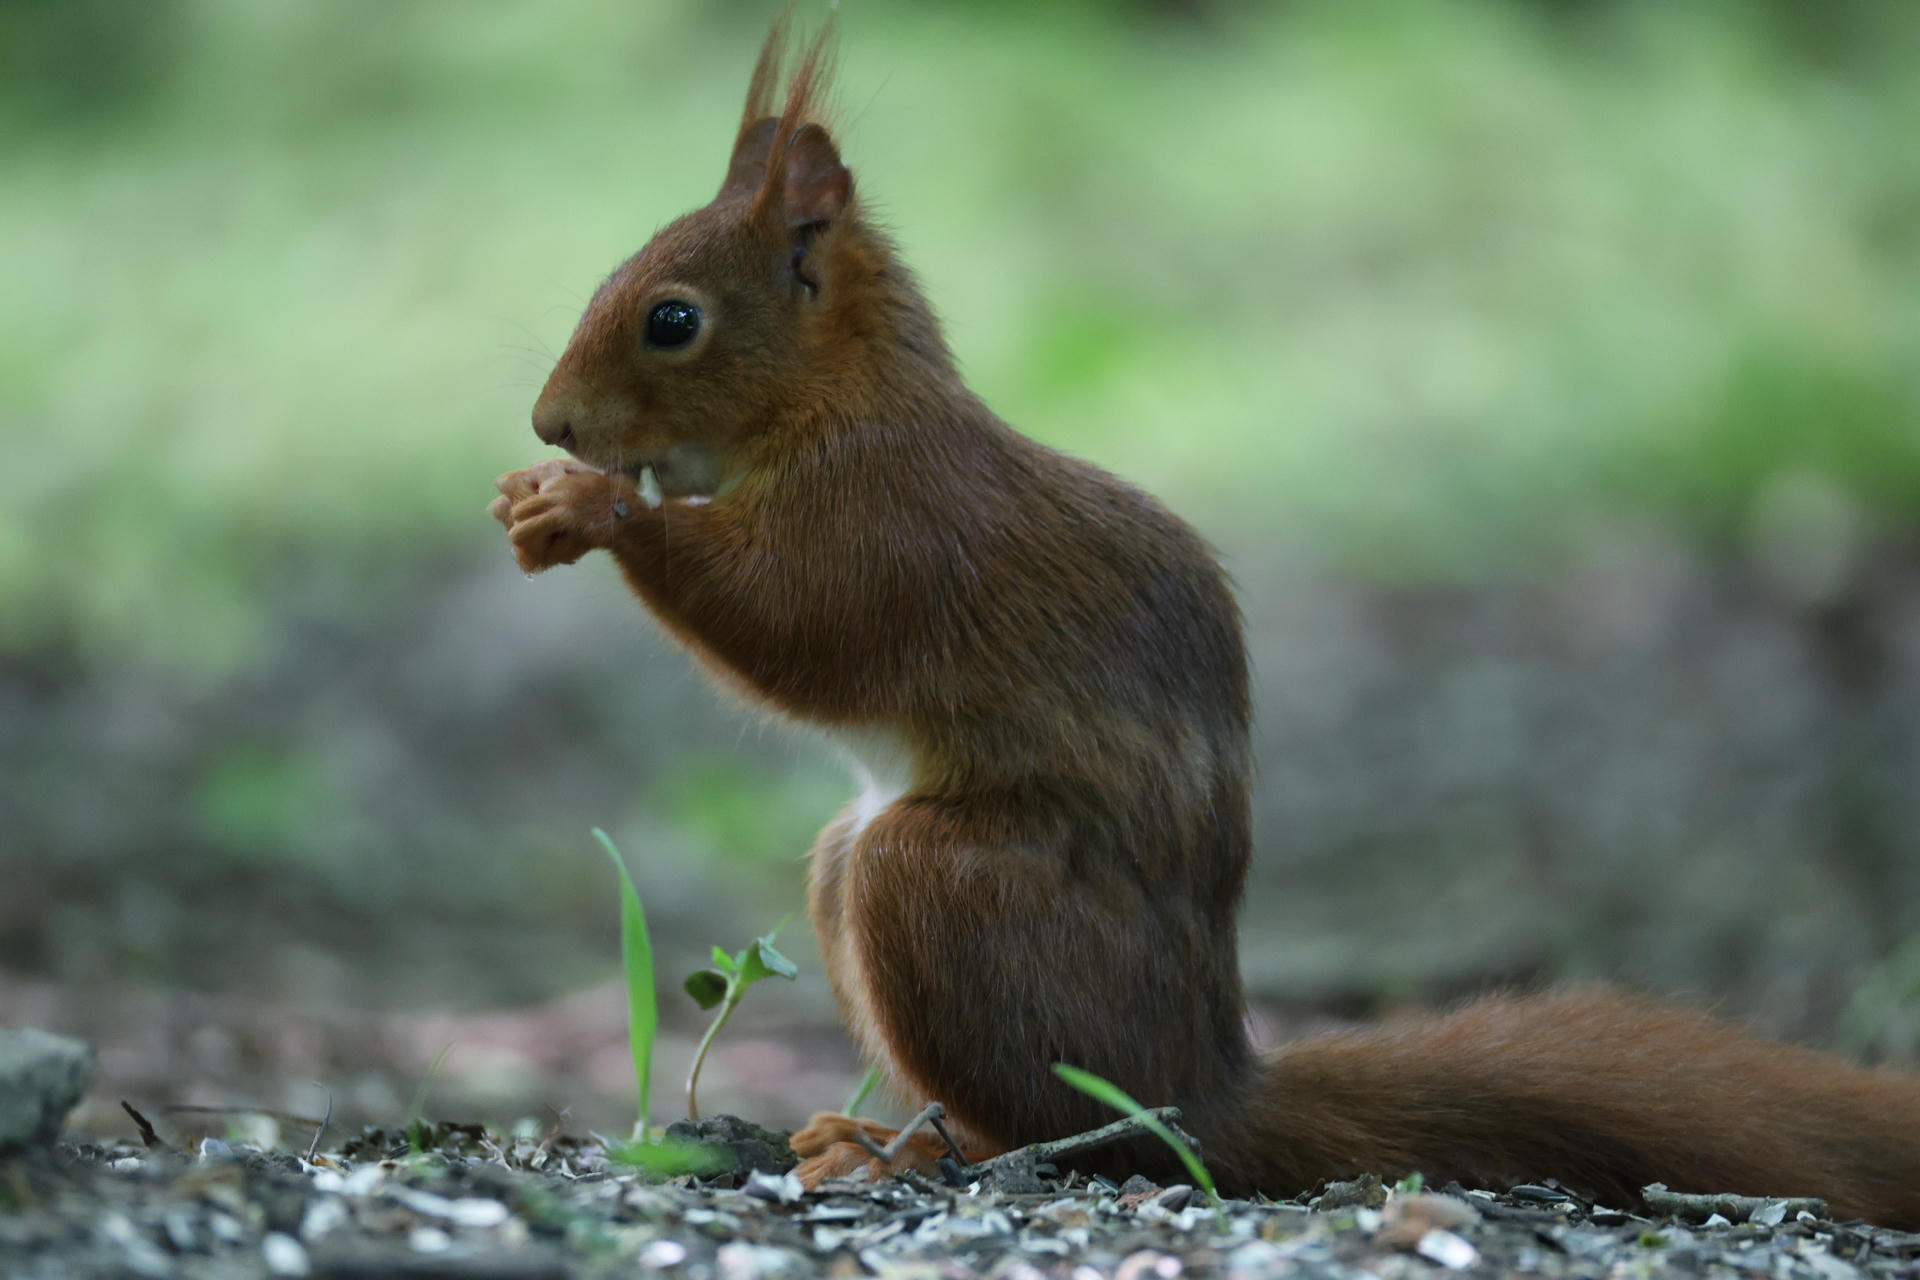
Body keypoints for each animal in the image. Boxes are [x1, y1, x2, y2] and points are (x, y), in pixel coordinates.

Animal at [489, 21, 1920, 1227]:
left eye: (673, 318)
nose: (551, 420)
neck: (842, 403)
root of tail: (1203, 1071)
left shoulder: (895, 522)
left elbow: (794, 621)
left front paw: (594, 508)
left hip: (944, 887)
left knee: (1065, 1124)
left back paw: (902, 1151)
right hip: (862, 867)